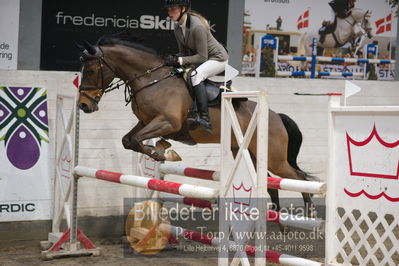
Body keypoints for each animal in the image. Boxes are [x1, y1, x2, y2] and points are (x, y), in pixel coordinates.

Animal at [76, 34, 318, 218]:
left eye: (91, 70)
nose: (83, 105)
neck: (151, 79)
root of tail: (277, 116)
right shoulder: (145, 122)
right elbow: (128, 140)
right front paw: (161, 150)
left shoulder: (167, 122)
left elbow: (136, 140)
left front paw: (163, 153)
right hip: (249, 152)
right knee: (270, 182)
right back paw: (277, 219)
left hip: (275, 158)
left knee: (298, 178)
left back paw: (309, 214)